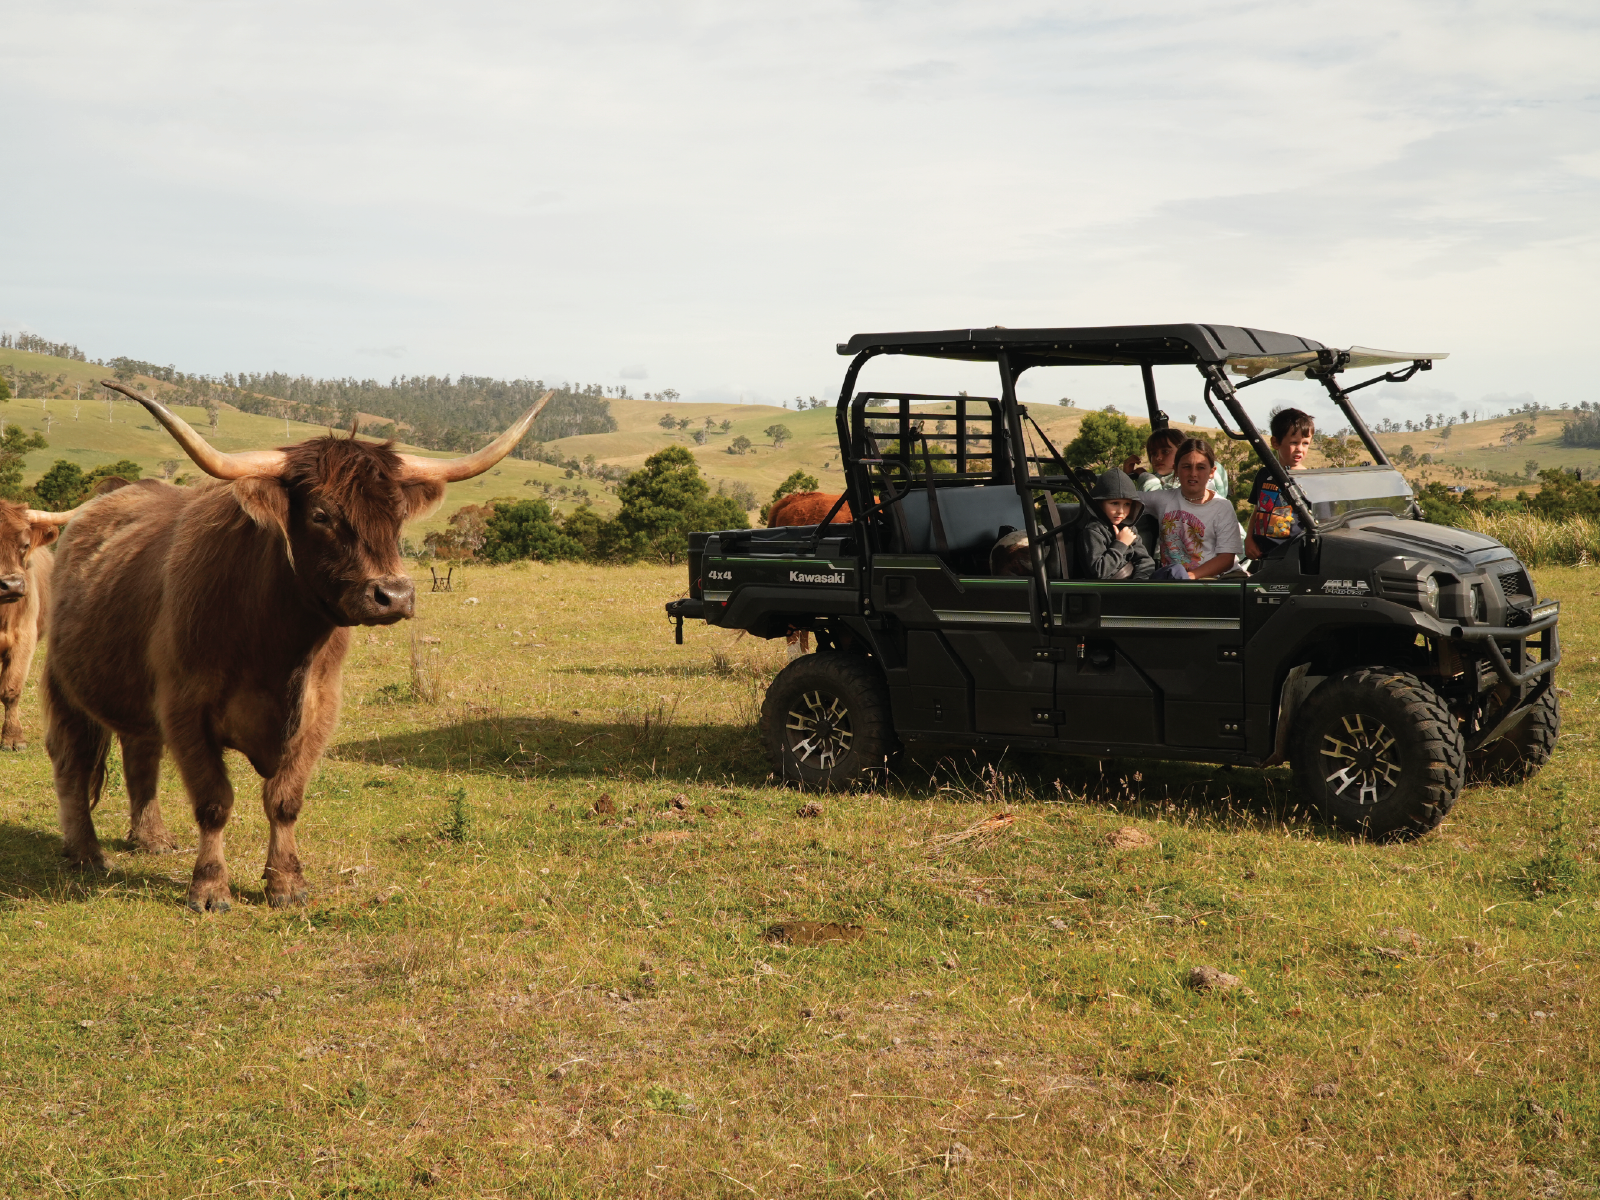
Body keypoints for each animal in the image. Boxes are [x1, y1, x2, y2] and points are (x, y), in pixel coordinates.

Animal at [46, 381, 551, 911]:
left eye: (397, 516)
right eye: (321, 515)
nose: (393, 595)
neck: (276, 646)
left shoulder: (319, 709)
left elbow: (285, 800)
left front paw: (286, 882)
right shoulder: (185, 706)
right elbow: (214, 801)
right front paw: (209, 887)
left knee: (140, 752)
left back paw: (152, 839)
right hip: (64, 684)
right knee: (72, 762)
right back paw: (86, 852)